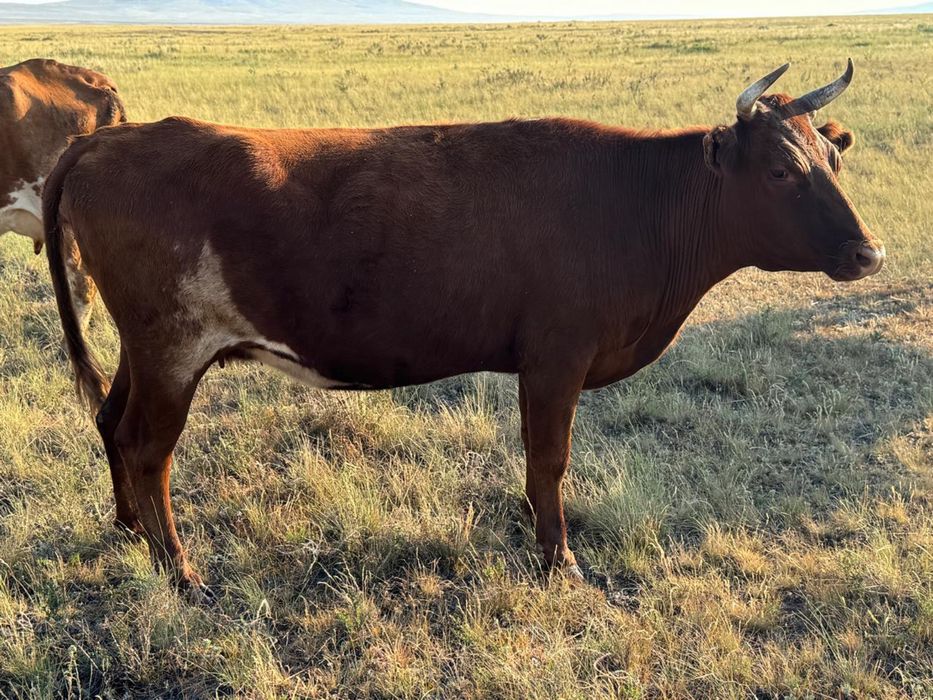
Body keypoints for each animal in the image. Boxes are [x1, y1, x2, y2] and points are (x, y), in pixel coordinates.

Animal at [43, 60, 883, 597]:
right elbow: (548, 462)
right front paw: (559, 564)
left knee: (111, 422)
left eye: (832, 161)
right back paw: (179, 571)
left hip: (143, 348)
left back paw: (129, 533)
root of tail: (107, 139)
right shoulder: (555, 359)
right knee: (148, 448)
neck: (637, 201)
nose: (867, 253)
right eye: (779, 171)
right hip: (172, 346)